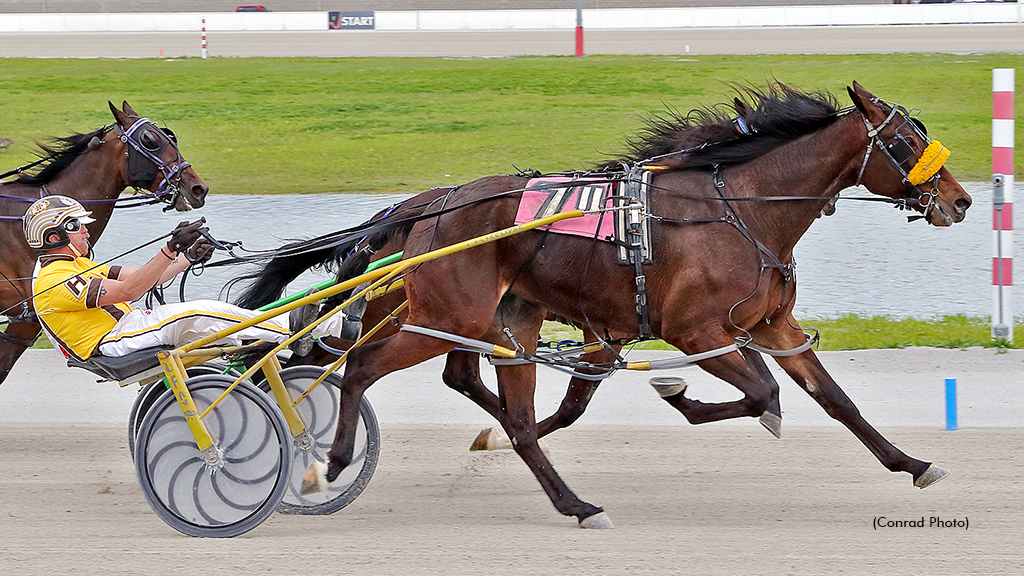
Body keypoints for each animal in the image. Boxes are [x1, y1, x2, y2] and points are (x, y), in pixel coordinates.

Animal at [243, 83, 970, 528]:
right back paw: (328, 464)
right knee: (363, 367)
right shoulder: (694, 329)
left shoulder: (771, 323)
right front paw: (682, 395)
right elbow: (762, 394)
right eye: (905, 142)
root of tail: (433, 203)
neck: (741, 210)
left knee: (508, 412)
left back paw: (573, 501)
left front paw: (913, 465)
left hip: (502, 318)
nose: (960, 200)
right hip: (447, 317)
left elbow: (836, 401)